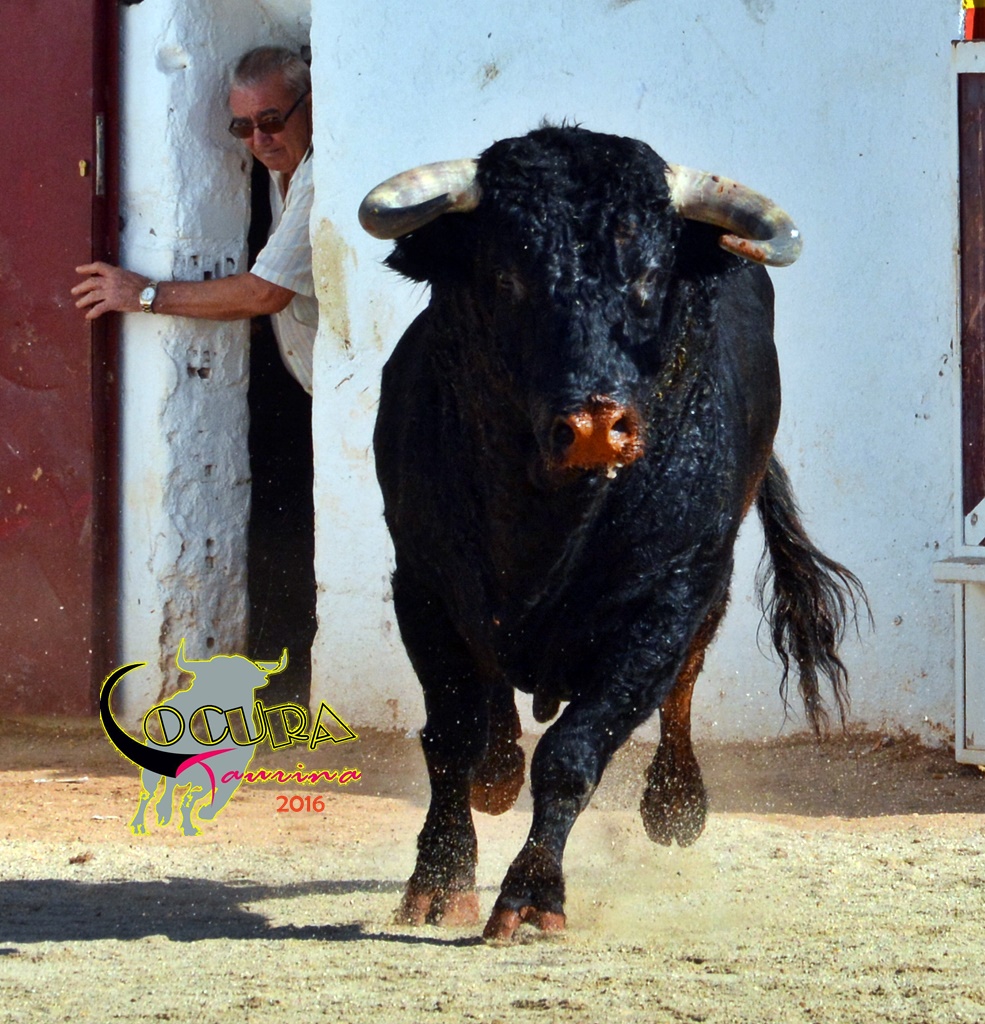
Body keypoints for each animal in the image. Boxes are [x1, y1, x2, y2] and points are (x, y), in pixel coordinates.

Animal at [358, 125, 865, 941]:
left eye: (650, 277)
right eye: (505, 277)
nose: (597, 425)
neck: (545, 515)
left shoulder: (670, 594)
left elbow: (574, 752)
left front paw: (531, 896)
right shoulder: (423, 584)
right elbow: (451, 735)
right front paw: (438, 881)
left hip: (710, 583)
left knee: (681, 688)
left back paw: (674, 805)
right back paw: (497, 774)